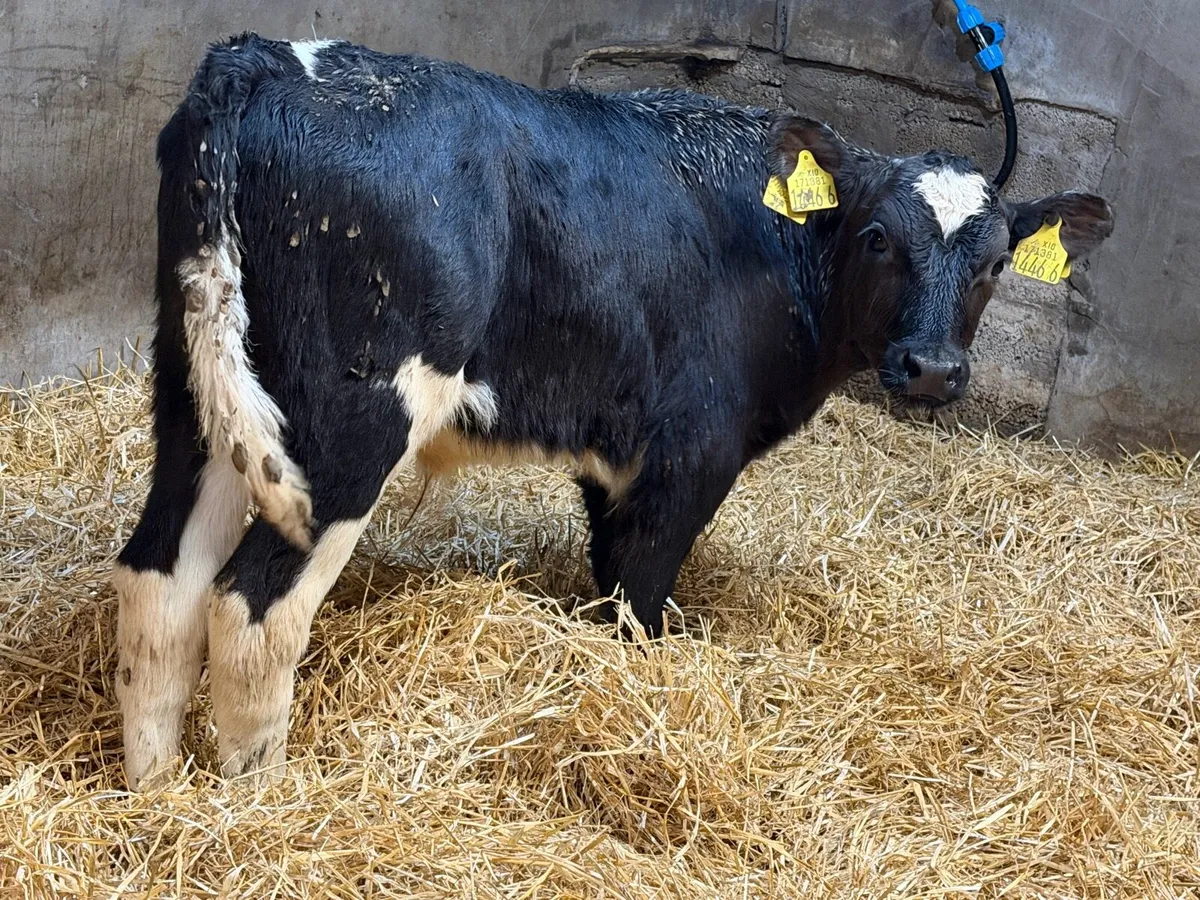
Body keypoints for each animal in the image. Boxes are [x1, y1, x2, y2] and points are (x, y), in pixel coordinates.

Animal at [112, 33, 1113, 788]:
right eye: (876, 237)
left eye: (994, 263)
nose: (933, 370)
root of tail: (268, 59)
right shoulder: (694, 451)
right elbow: (641, 591)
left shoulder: (618, 449)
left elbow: (609, 574)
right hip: (347, 423)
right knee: (252, 606)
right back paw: (259, 799)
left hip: (200, 396)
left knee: (161, 581)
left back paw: (156, 793)